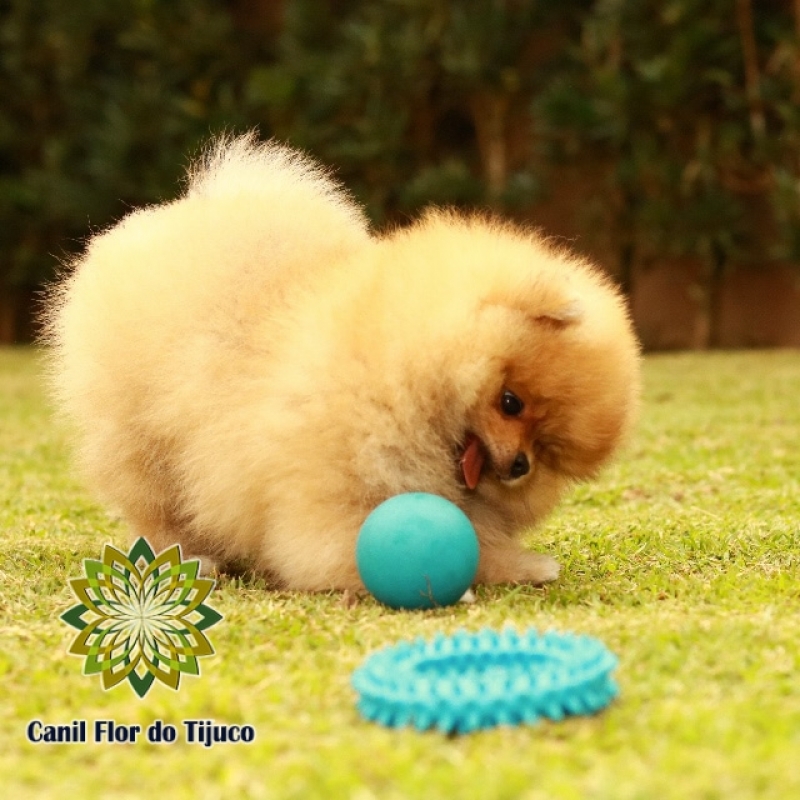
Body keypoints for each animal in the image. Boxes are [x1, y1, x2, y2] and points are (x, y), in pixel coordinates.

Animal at [45, 133, 644, 592]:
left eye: (544, 449)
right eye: (511, 402)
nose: (518, 466)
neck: (393, 363)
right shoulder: (329, 494)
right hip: (142, 440)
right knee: (157, 505)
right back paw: (193, 558)